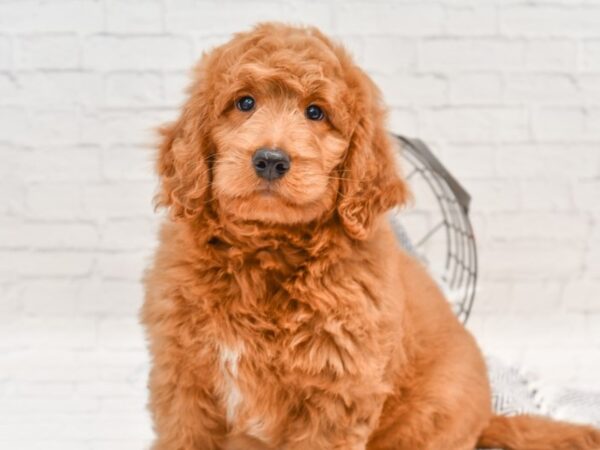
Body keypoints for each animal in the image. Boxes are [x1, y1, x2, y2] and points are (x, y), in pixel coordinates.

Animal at [143, 22, 600, 450]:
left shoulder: (336, 395)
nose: (271, 160)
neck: (265, 251)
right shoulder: (184, 379)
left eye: (316, 112)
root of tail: (489, 415)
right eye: (244, 103)